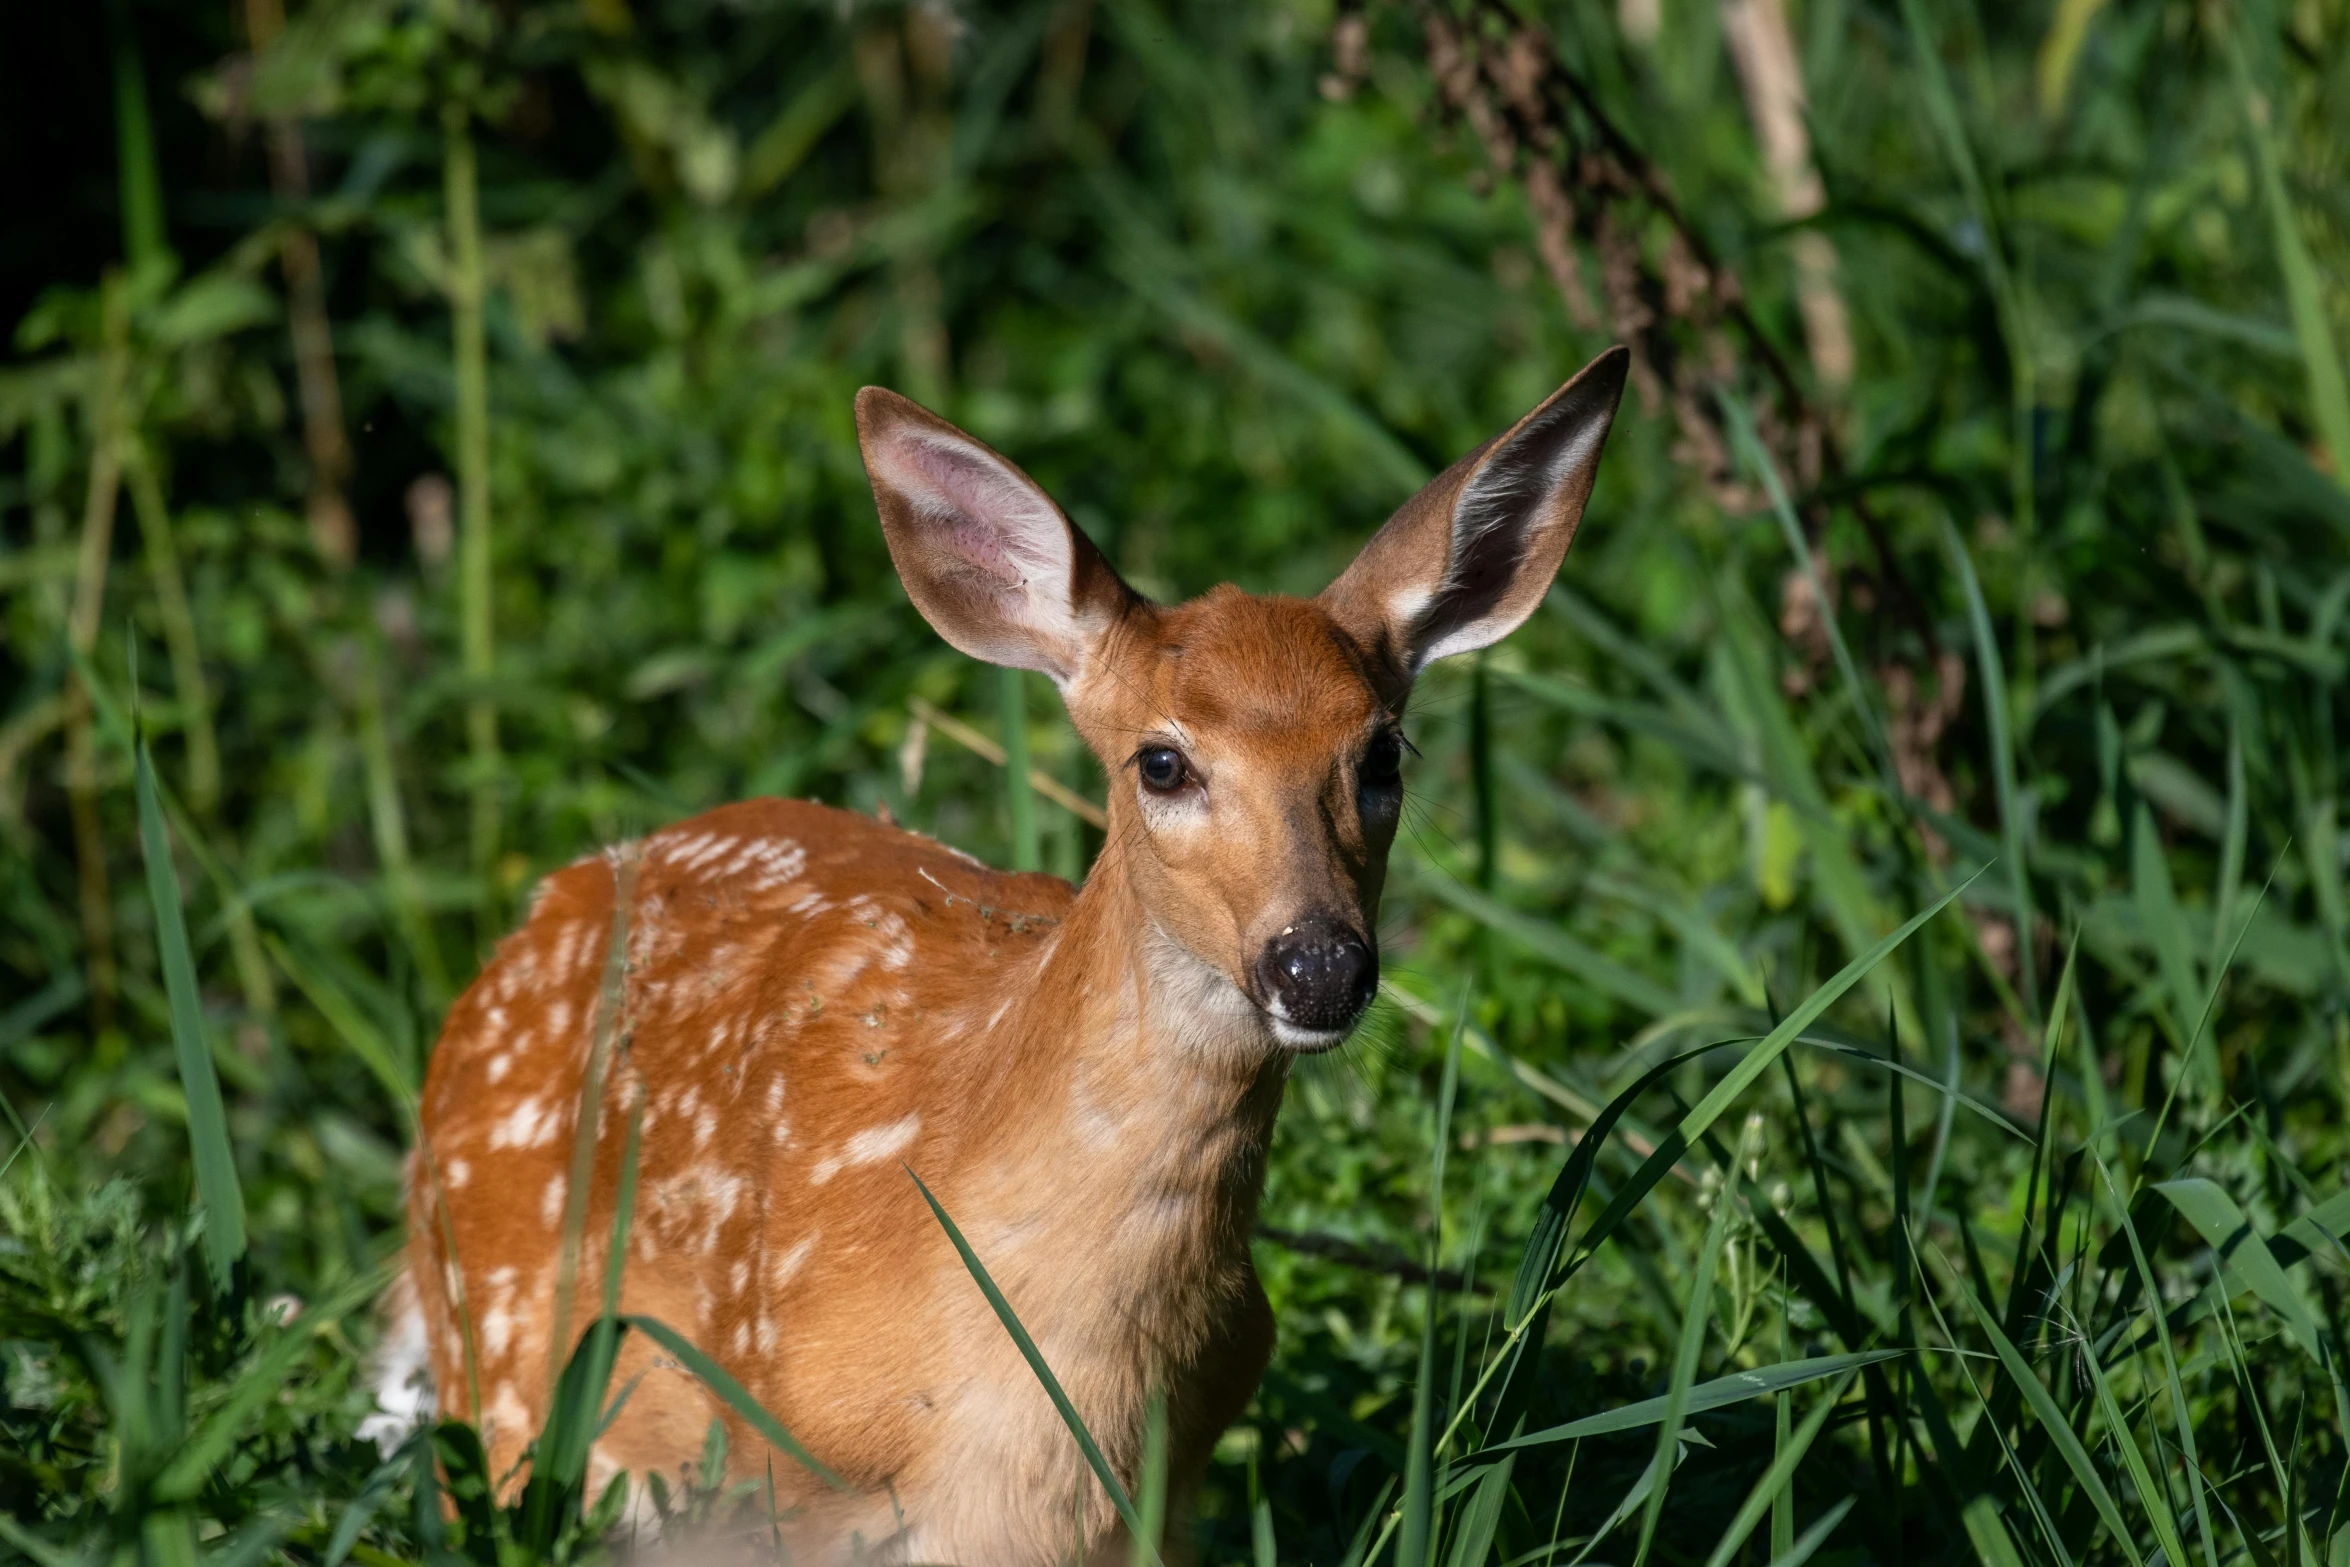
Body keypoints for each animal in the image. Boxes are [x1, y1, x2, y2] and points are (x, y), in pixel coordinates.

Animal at [390, 340, 1635, 1559]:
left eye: (1383, 755)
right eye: (1162, 762)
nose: (1318, 963)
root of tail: (540, 912)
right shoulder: (783, 1474)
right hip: (499, 1381)